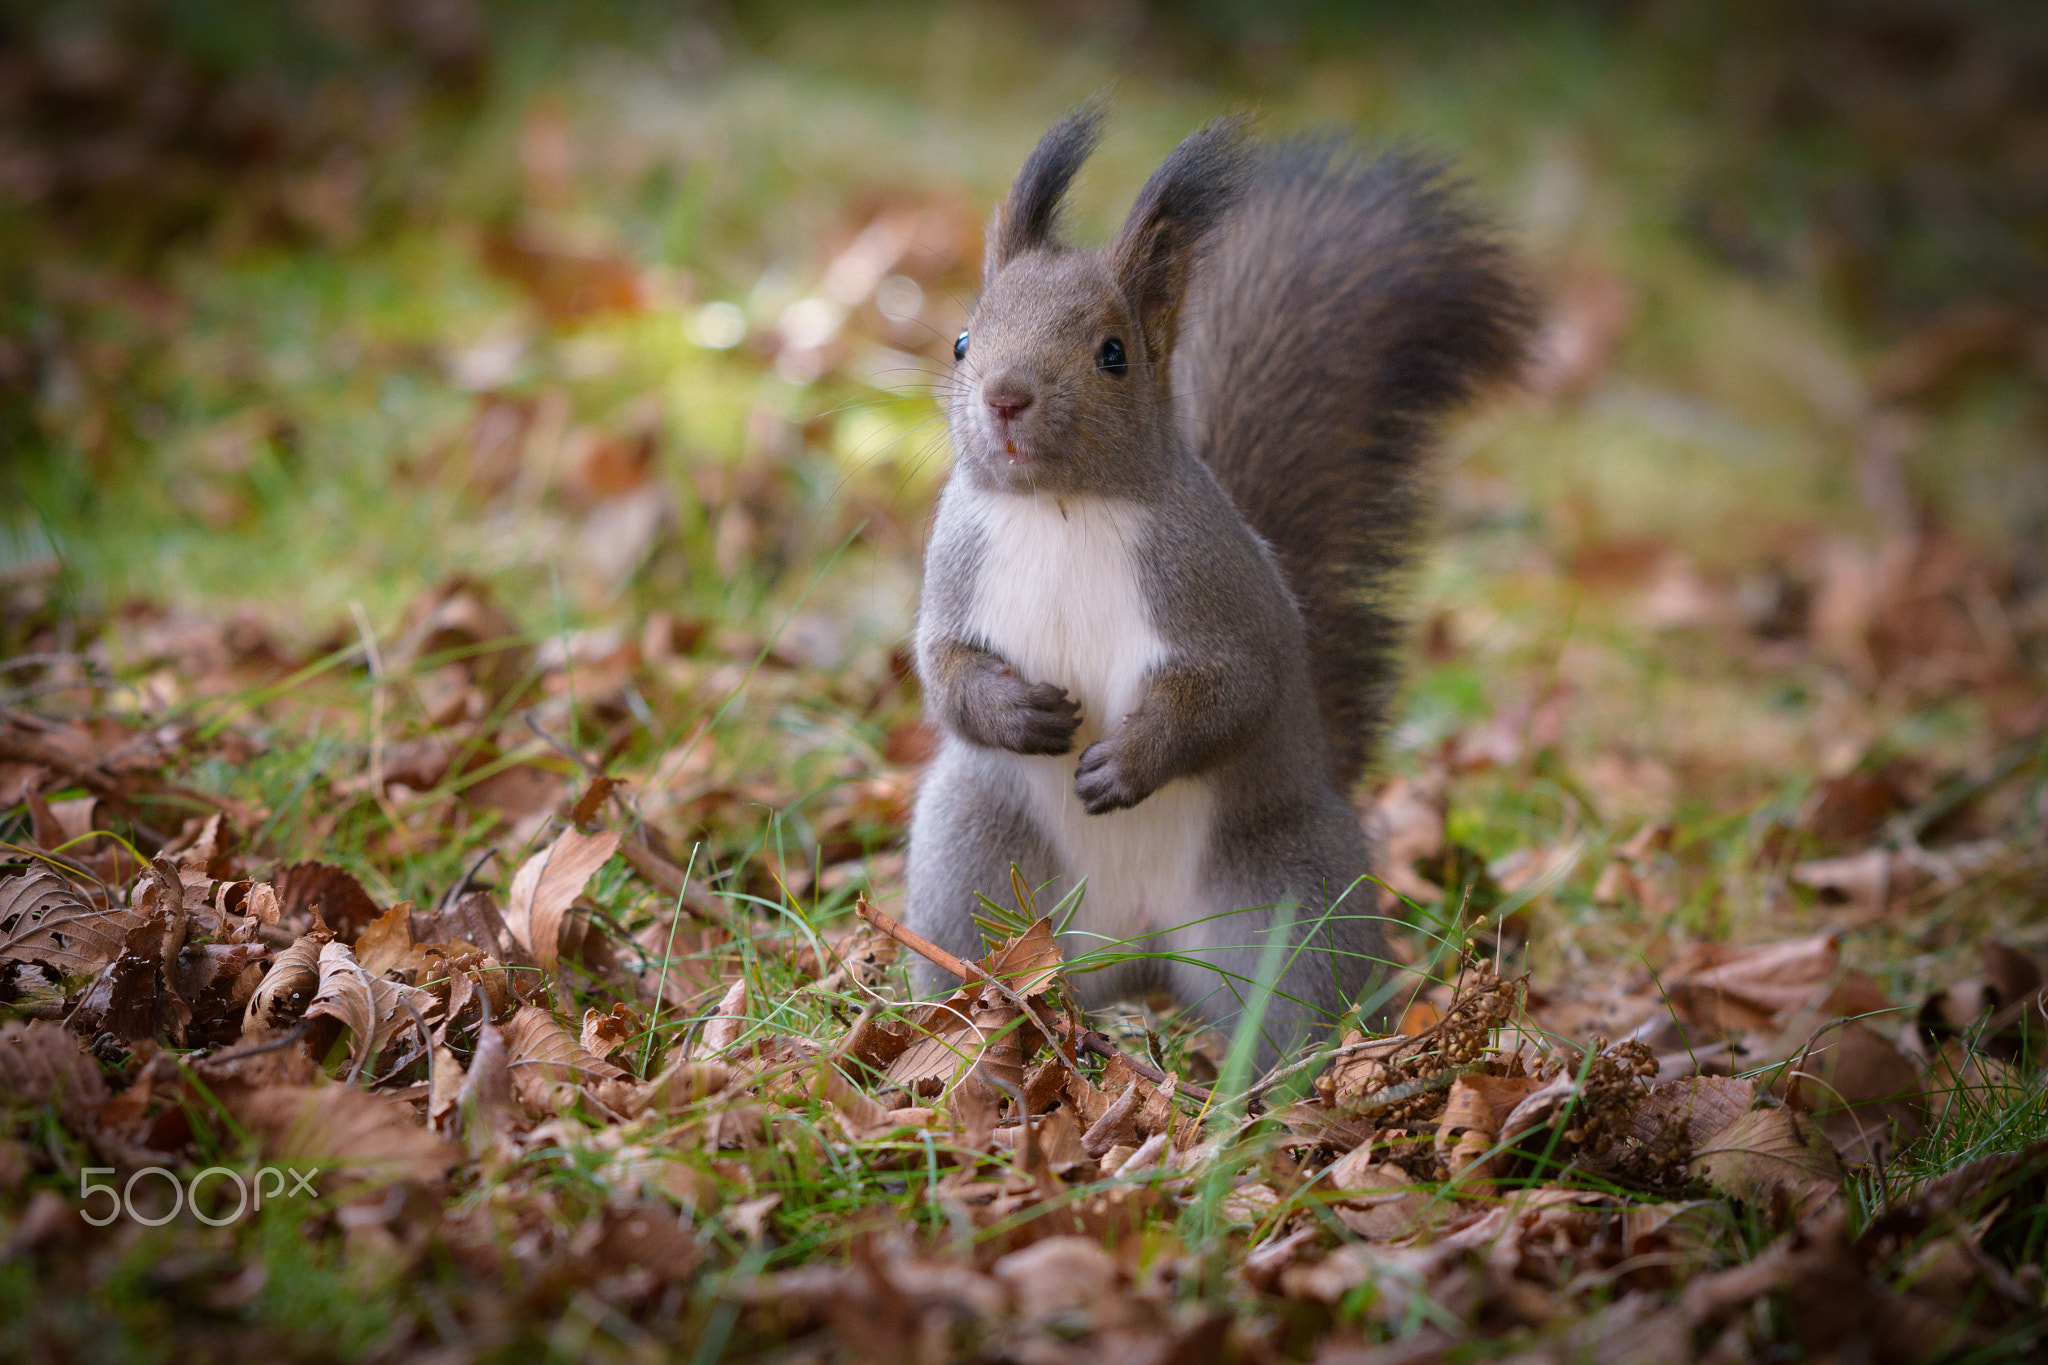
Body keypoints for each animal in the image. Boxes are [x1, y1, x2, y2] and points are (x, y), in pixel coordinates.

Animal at [904, 107, 1531, 1063]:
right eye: (963, 340)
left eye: (1114, 353)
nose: (1005, 397)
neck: (1059, 507)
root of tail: (1140, 951)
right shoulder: (955, 568)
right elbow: (943, 670)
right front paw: (1020, 714)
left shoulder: (1218, 592)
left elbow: (1233, 691)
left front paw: (1128, 761)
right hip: (972, 863)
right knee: (972, 952)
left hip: (1291, 906)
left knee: (1297, 1014)